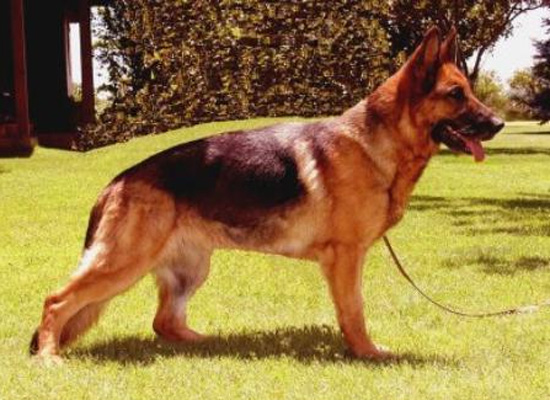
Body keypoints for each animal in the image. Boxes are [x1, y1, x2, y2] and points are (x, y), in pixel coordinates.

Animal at [30, 26, 504, 362]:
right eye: (456, 94)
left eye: (469, 92)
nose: (499, 123)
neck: (378, 143)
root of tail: (115, 182)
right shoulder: (346, 258)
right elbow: (354, 311)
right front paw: (366, 353)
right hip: (124, 263)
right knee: (57, 301)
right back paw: (49, 356)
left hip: (189, 270)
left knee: (164, 322)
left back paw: (210, 344)